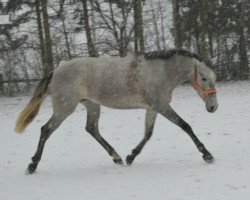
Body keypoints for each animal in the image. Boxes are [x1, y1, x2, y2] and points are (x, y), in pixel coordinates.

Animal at [14, 48, 218, 173]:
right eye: (204, 78)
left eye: (214, 78)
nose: (213, 107)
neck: (159, 73)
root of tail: (55, 71)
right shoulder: (161, 106)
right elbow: (185, 126)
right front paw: (207, 154)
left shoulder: (153, 108)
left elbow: (148, 133)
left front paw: (130, 156)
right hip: (64, 108)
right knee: (46, 130)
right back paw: (32, 165)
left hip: (92, 105)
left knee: (91, 129)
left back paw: (117, 157)